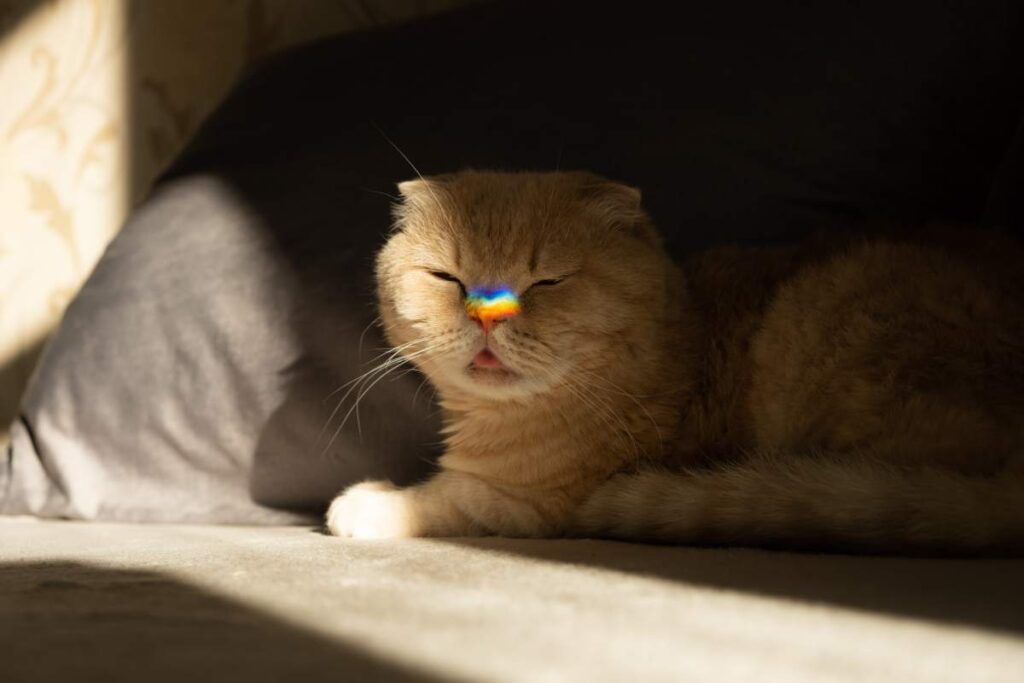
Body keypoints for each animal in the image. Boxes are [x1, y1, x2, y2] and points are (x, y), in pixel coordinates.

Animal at [325, 171, 1024, 557]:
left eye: (547, 281)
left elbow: (442, 499)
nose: (487, 318)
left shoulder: (528, 504)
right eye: (447, 278)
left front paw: (370, 504)